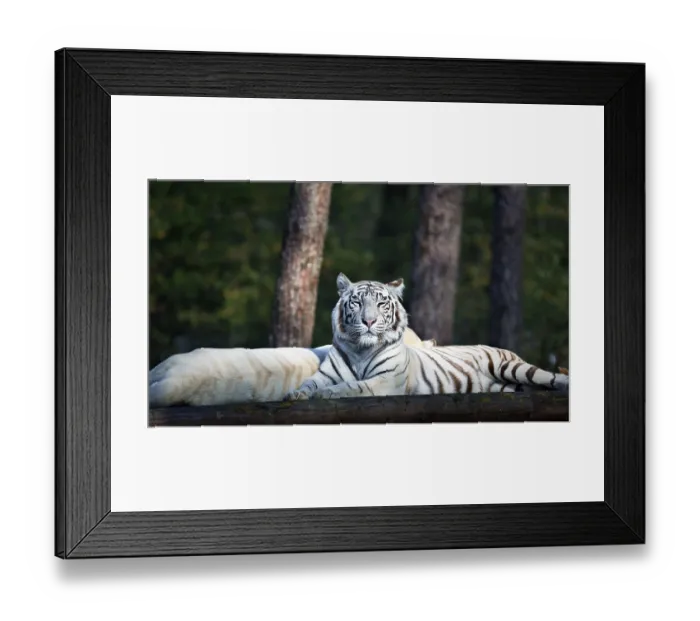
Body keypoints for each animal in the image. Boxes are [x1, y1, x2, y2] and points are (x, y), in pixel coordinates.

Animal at [284, 273, 569, 401]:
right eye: (356, 302)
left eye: (381, 304)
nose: (369, 321)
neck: (360, 351)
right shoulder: (325, 374)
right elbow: (309, 383)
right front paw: (296, 394)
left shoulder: (387, 380)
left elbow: (354, 386)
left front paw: (327, 394)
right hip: (501, 386)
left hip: (510, 366)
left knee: (548, 377)